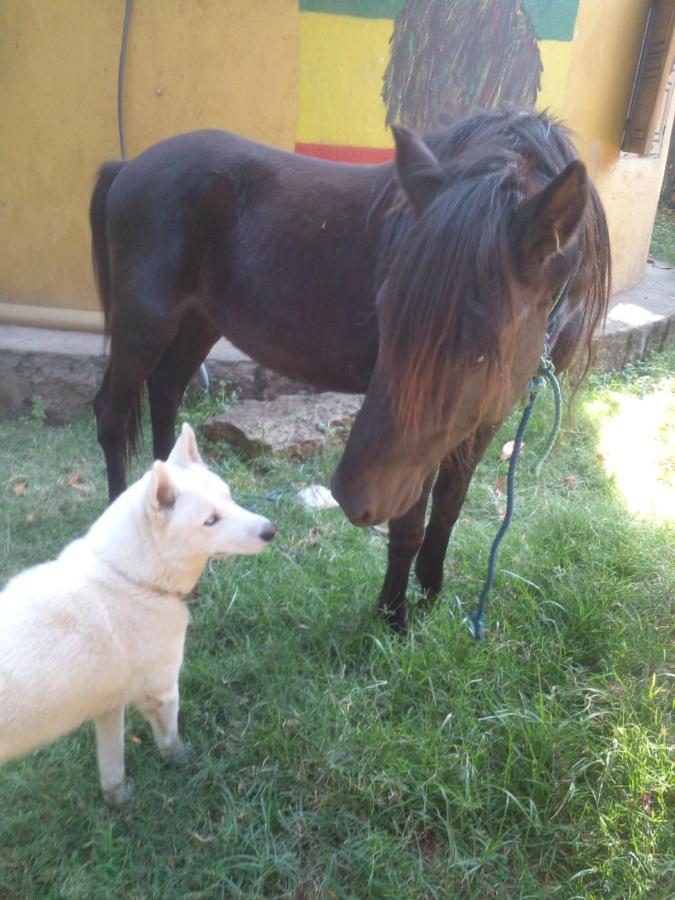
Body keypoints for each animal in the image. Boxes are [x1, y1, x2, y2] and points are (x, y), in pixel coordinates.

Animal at [0, 426, 278, 804]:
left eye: (230, 497)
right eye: (210, 520)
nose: (271, 530)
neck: (130, 577)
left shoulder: (108, 709)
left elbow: (112, 767)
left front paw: (118, 801)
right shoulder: (162, 695)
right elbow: (171, 743)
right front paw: (187, 763)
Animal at [91, 110, 612, 632]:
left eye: (484, 348)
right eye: (385, 310)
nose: (350, 495)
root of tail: (129, 166)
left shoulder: (485, 414)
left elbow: (449, 506)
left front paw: (431, 593)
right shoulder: (415, 452)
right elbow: (408, 523)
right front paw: (395, 616)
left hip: (199, 322)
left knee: (165, 392)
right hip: (144, 326)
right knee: (112, 414)